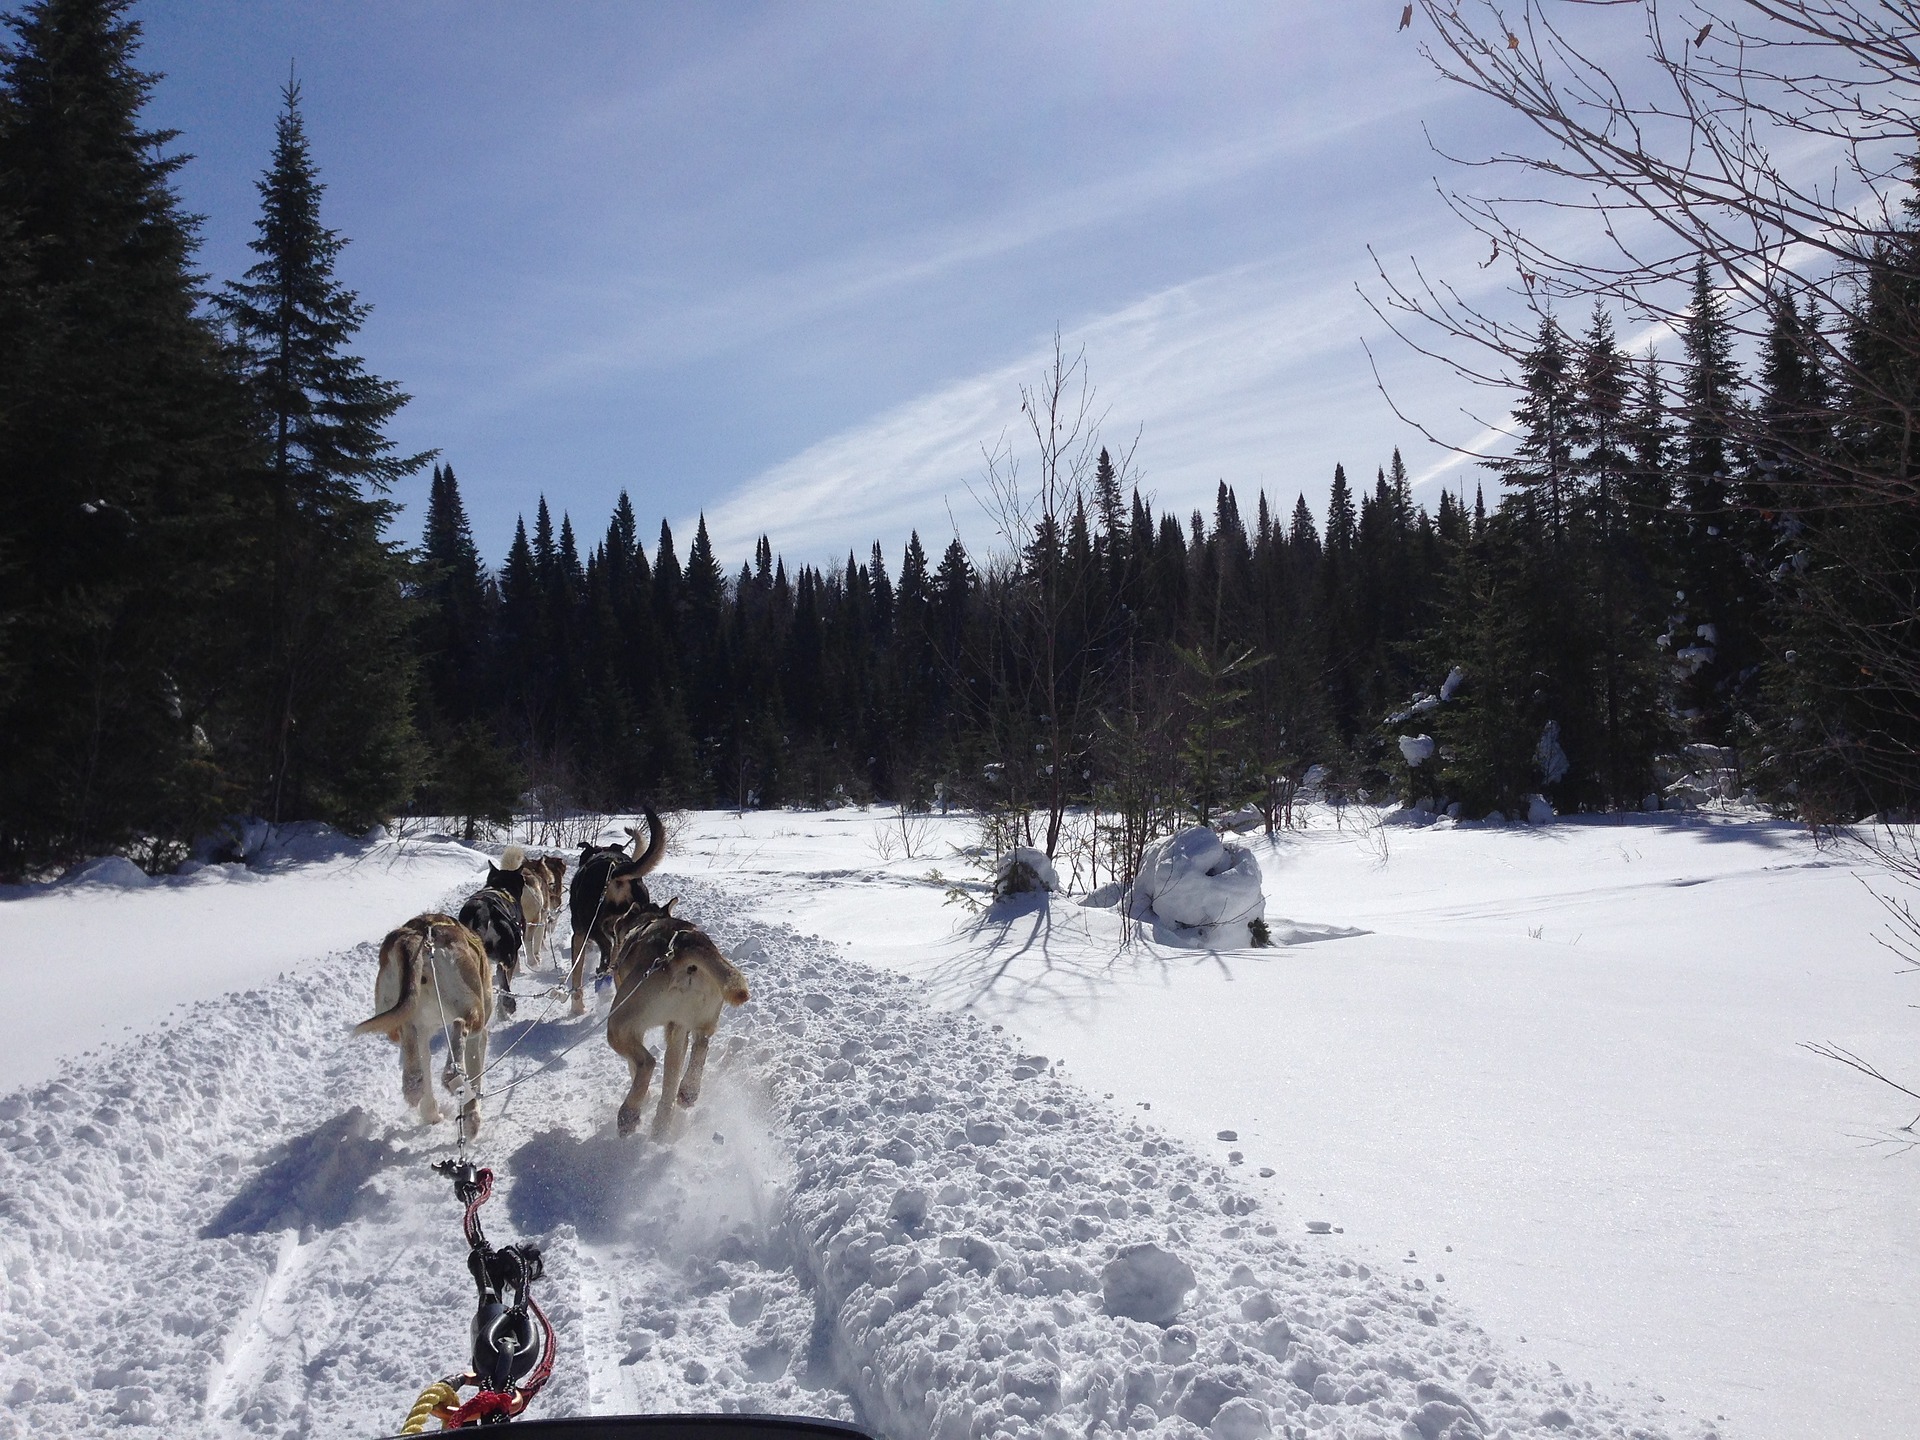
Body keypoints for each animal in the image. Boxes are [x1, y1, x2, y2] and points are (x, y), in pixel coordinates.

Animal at [606, 906, 748, 1144]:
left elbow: (632, 1066)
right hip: (699, 1018)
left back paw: (629, 1114)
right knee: (700, 1046)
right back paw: (682, 1098)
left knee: (647, 1062)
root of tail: (688, 943)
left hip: (618, 1023)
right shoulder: (678, 1029)